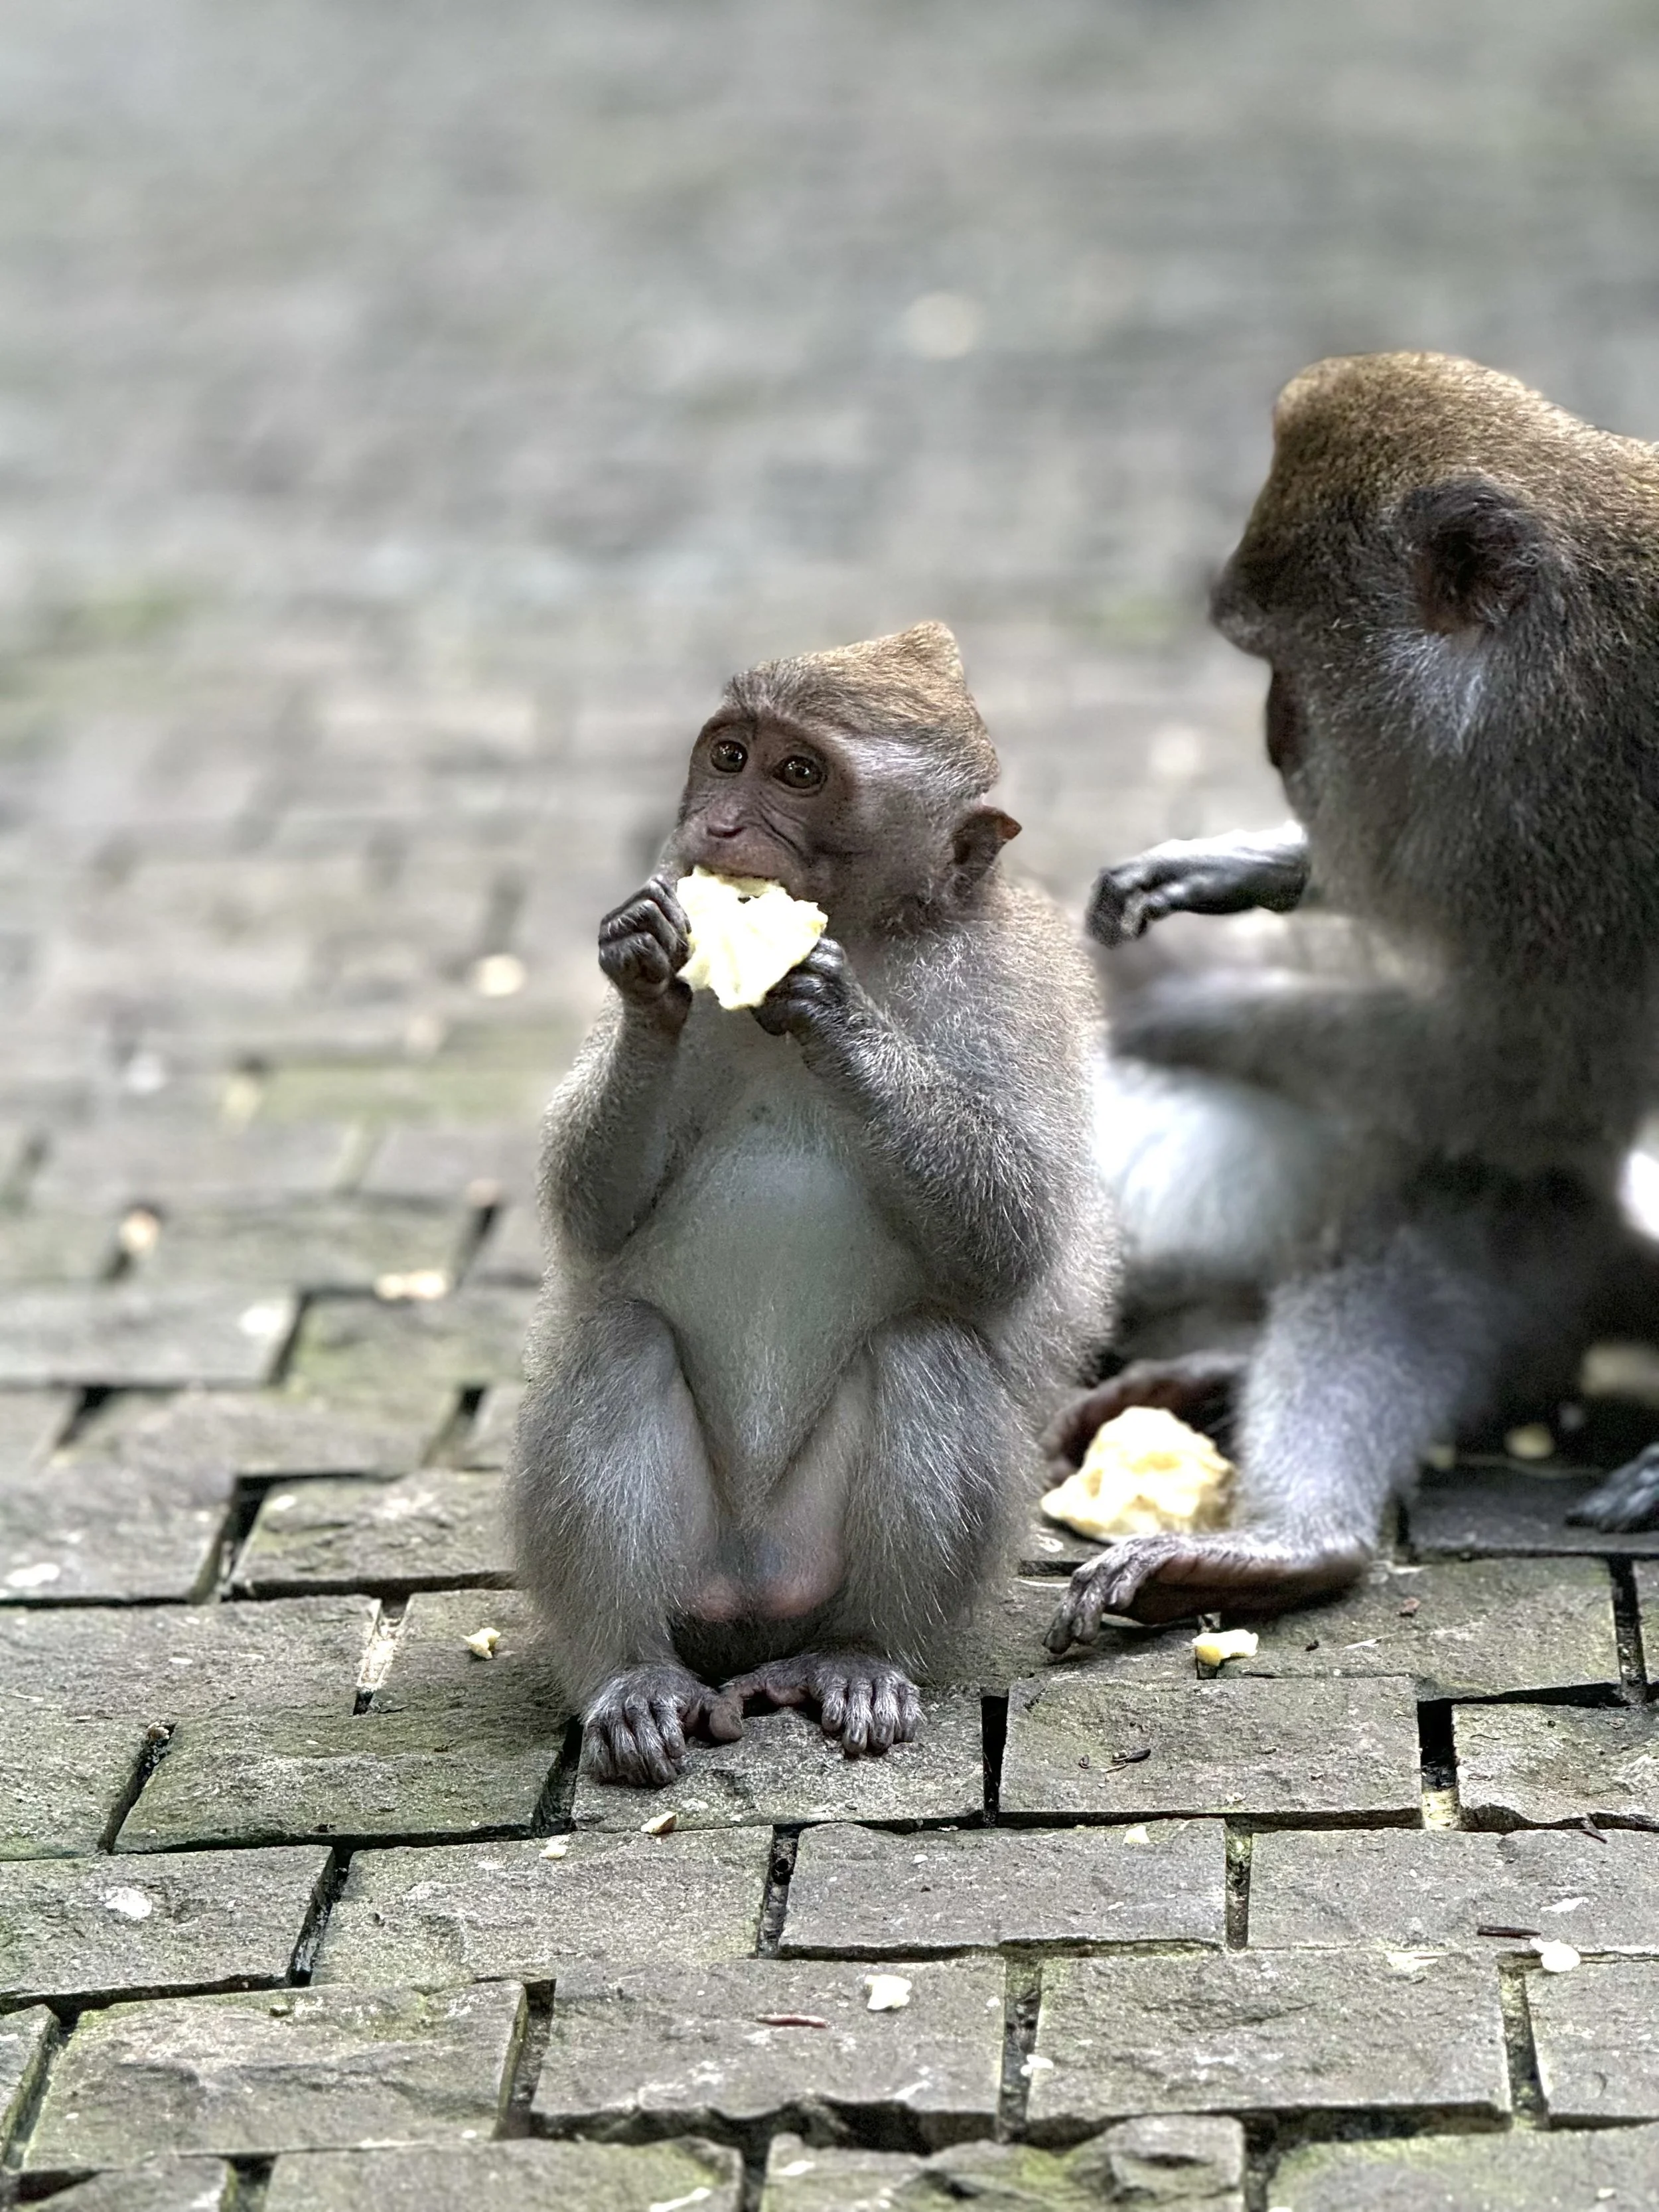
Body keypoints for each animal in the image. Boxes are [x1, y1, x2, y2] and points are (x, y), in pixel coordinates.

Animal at [512, 623, 1113, 1784]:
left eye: (800, 774)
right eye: (729, 755)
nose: (721, 825)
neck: (878, 931)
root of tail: (754, 1599)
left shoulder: (1008, 984)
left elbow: (1019, 1236)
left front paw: (834, 1009)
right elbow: (589, 1207)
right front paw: (646, 973)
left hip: (819, 1559)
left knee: (926, 1349)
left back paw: (861, 1655)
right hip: (695, 1568)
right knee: (618, 1337)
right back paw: (633, 1676)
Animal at [1045, 351, 1659, 1651]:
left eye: (1285, 656)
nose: (1278, 742)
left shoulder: (1550, 838)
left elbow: (1526, 1090)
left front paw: (1195, 1016)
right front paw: (1259, 866)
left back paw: (1289, 1541)